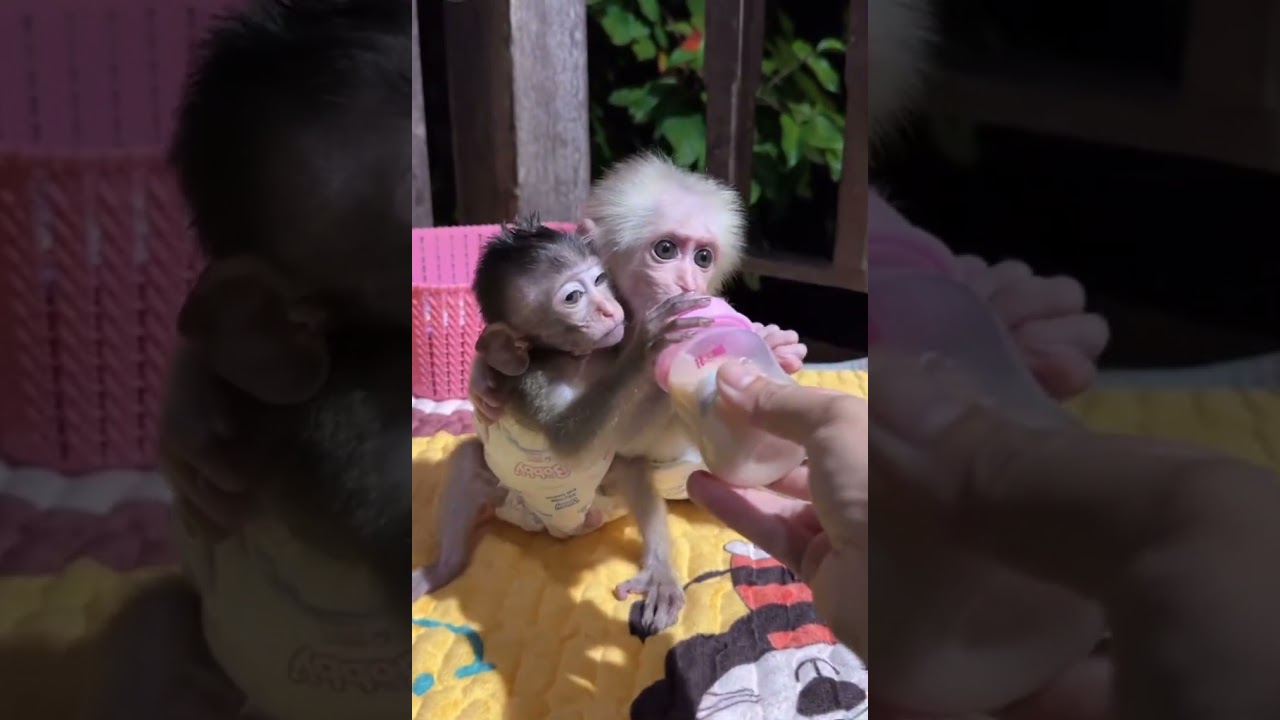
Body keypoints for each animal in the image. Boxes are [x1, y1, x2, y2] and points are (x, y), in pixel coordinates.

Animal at [413, 219, 712, 614]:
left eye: (600, 280)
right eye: (573, 298)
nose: (608, 309)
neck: (577, 360)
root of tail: (562, 529)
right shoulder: (534, 382)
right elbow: (567, 442)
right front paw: (647, 344)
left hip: (601, 500)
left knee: (631, 471)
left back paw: (659, 574)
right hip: (512, 502)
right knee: (467, 460)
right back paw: (443, 569)